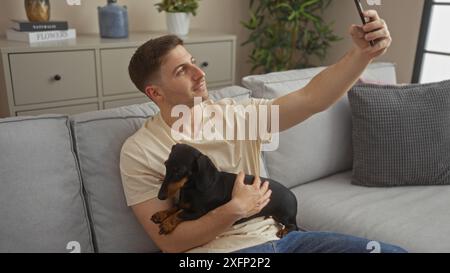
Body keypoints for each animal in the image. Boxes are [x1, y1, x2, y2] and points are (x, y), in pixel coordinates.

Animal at [151, 142, 298, 236]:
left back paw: (284, 231)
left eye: (179, 171)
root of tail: (293, 196)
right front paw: (161, 214)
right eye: (166, 164)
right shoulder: (183, 203)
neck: (191, 189)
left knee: (294, 227)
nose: (160, 196)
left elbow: (180, 213)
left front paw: (167, 223)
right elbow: (175, 207)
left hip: (284, 216)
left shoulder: (199, 212)